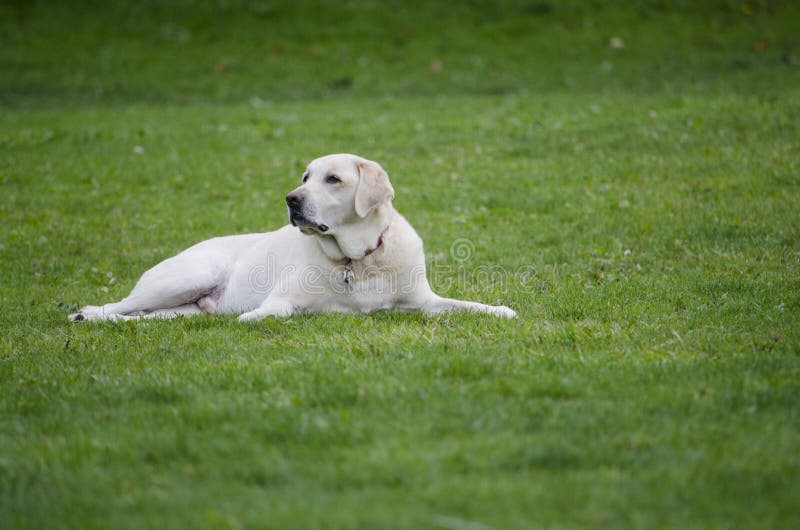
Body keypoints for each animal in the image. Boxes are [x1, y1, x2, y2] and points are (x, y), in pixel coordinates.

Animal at [70, 151, 520, 320]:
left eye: (332, 179)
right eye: (305, 177)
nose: (291, 199)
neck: (357, 260)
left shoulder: (424, 302)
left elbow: (466, 305)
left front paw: (500, 310)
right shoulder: (281, 301)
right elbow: (277, 311)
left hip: (183, 308)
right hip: (186, 276)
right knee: (116, 306)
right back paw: (86, 315)